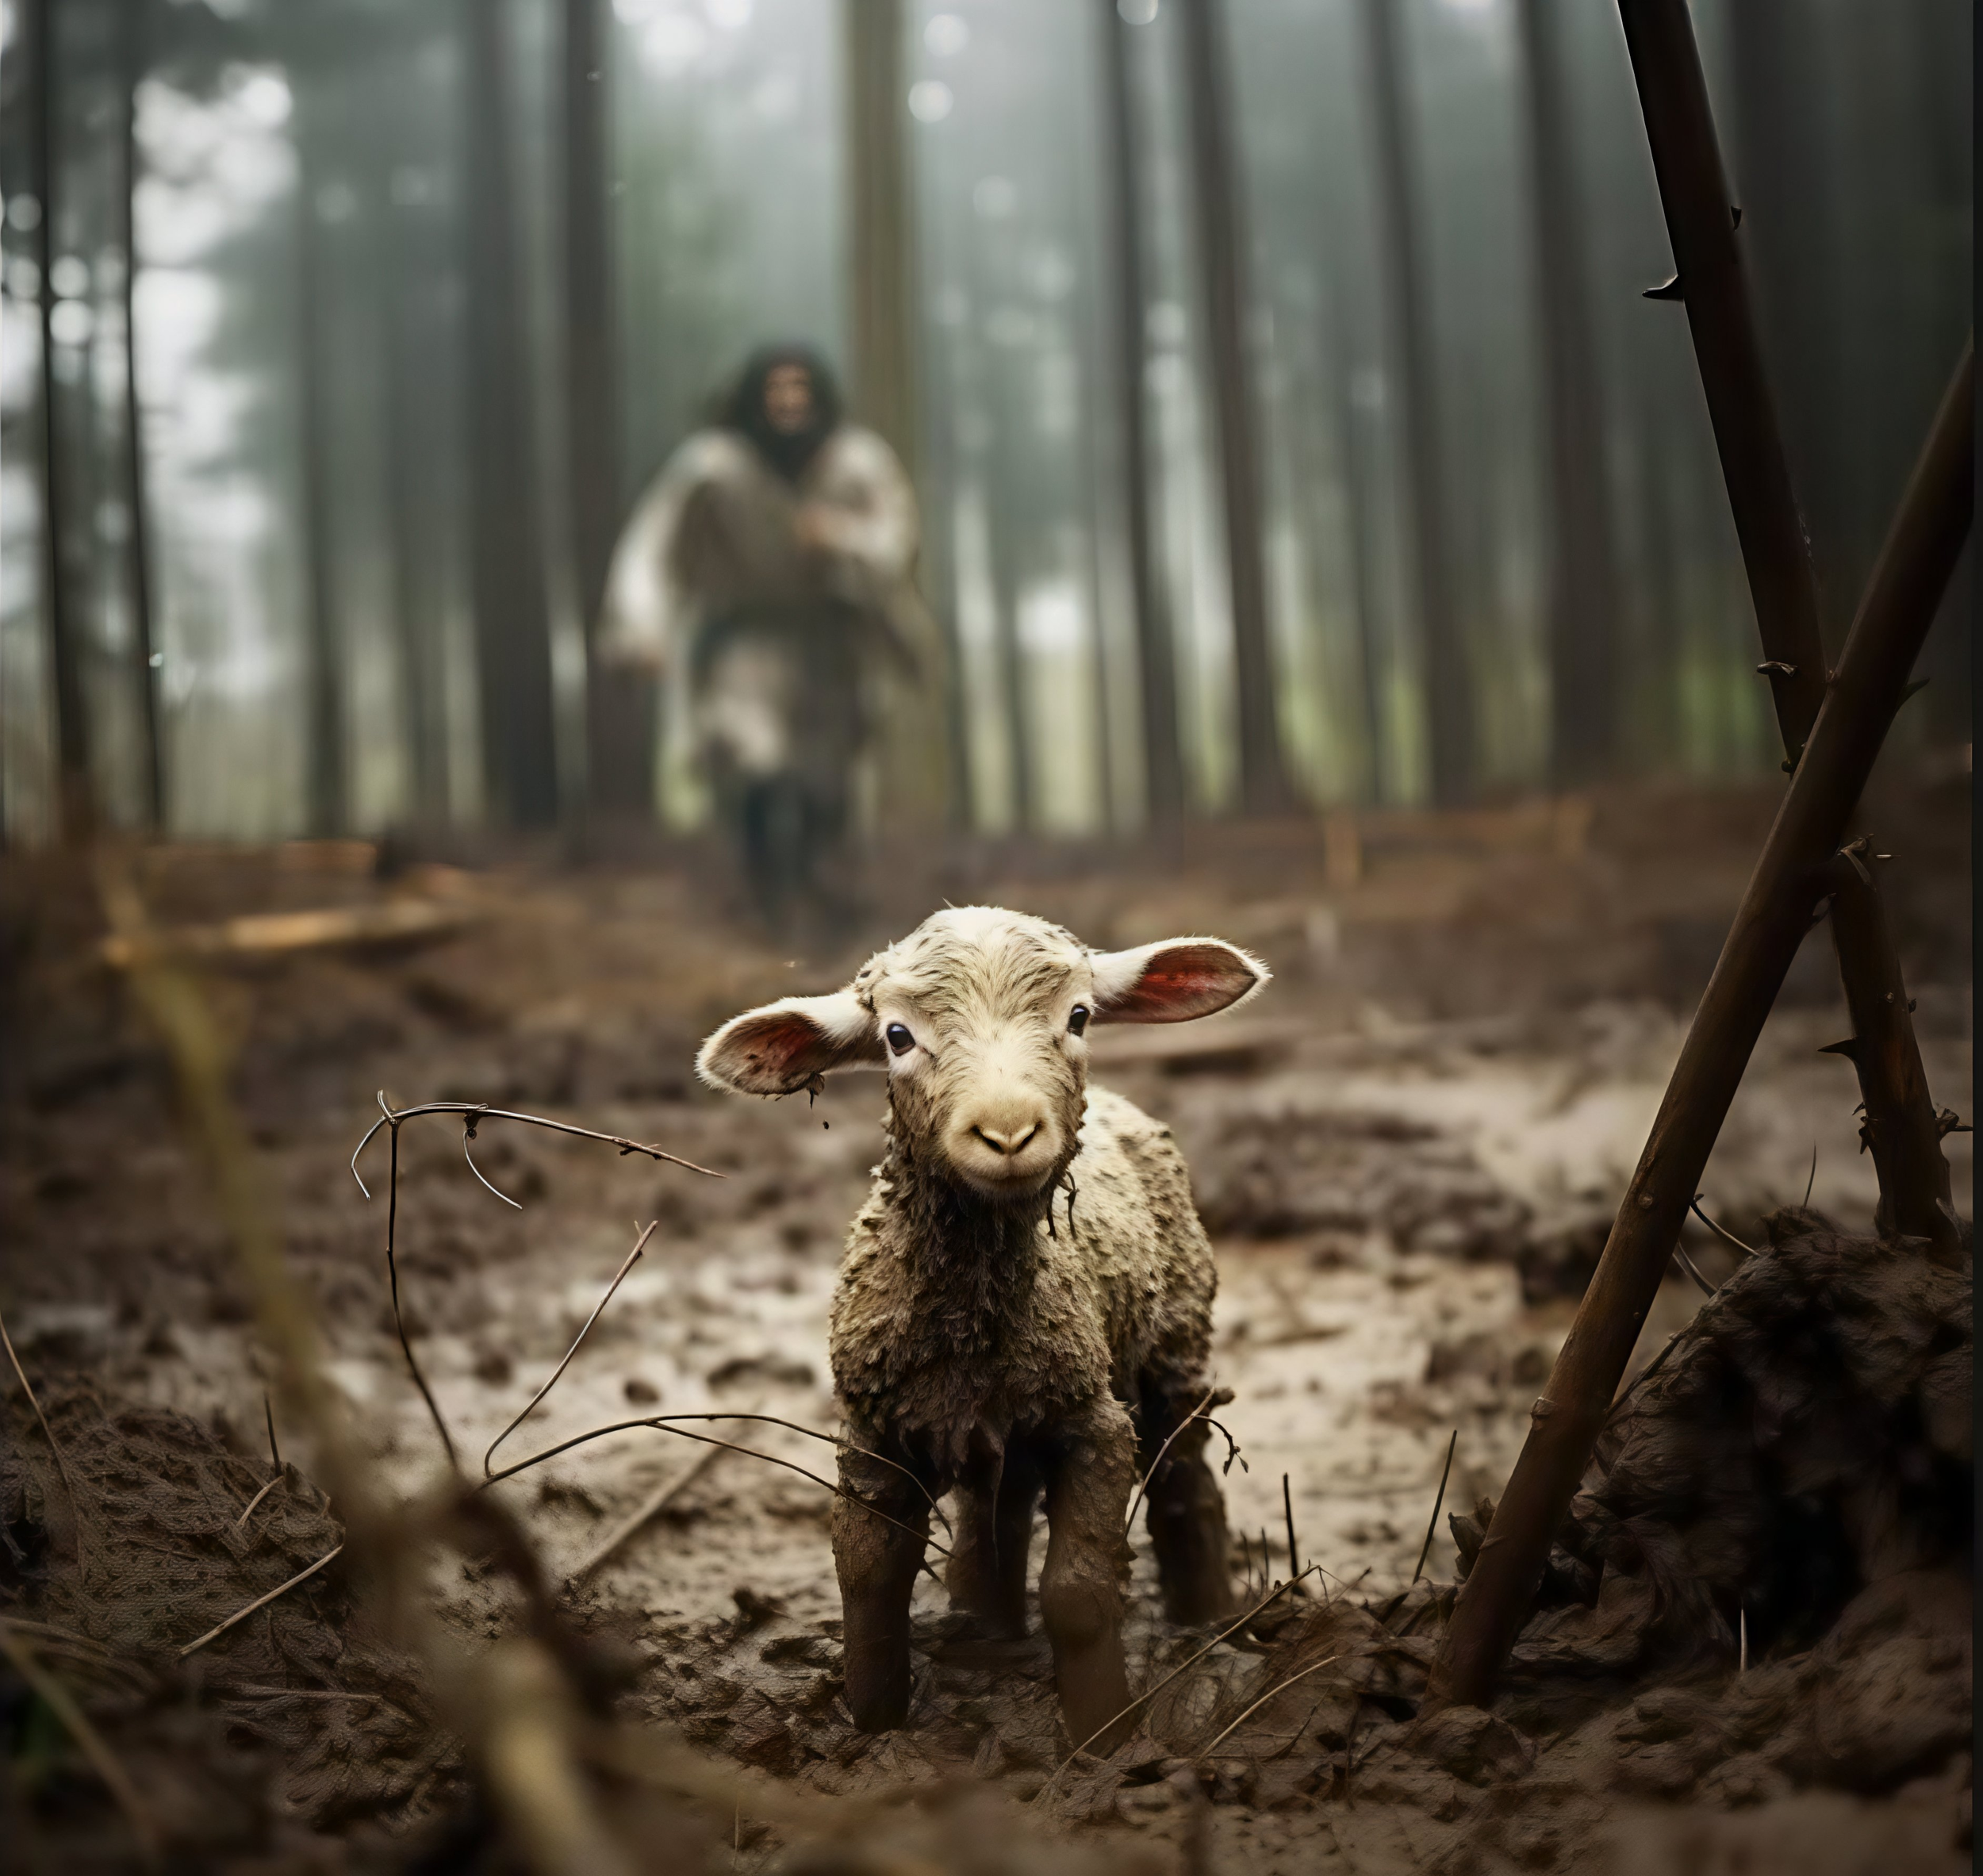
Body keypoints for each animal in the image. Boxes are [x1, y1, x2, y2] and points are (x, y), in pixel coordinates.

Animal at [696, 905, 1268, 1749]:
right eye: (898, 1035)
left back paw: (1209, 1621)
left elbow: (1078, 1593)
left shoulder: (1095, 1424)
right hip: (1004, 1418)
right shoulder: (873, 1432)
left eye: (1079, 1016)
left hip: (1175, 1347)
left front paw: (1102, 1737)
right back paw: (988, 1625)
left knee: (1185, 1481)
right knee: (996, 1511)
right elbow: (867, 1577)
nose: (1006, 1132)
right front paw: (873, 1727)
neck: (971, 1317)